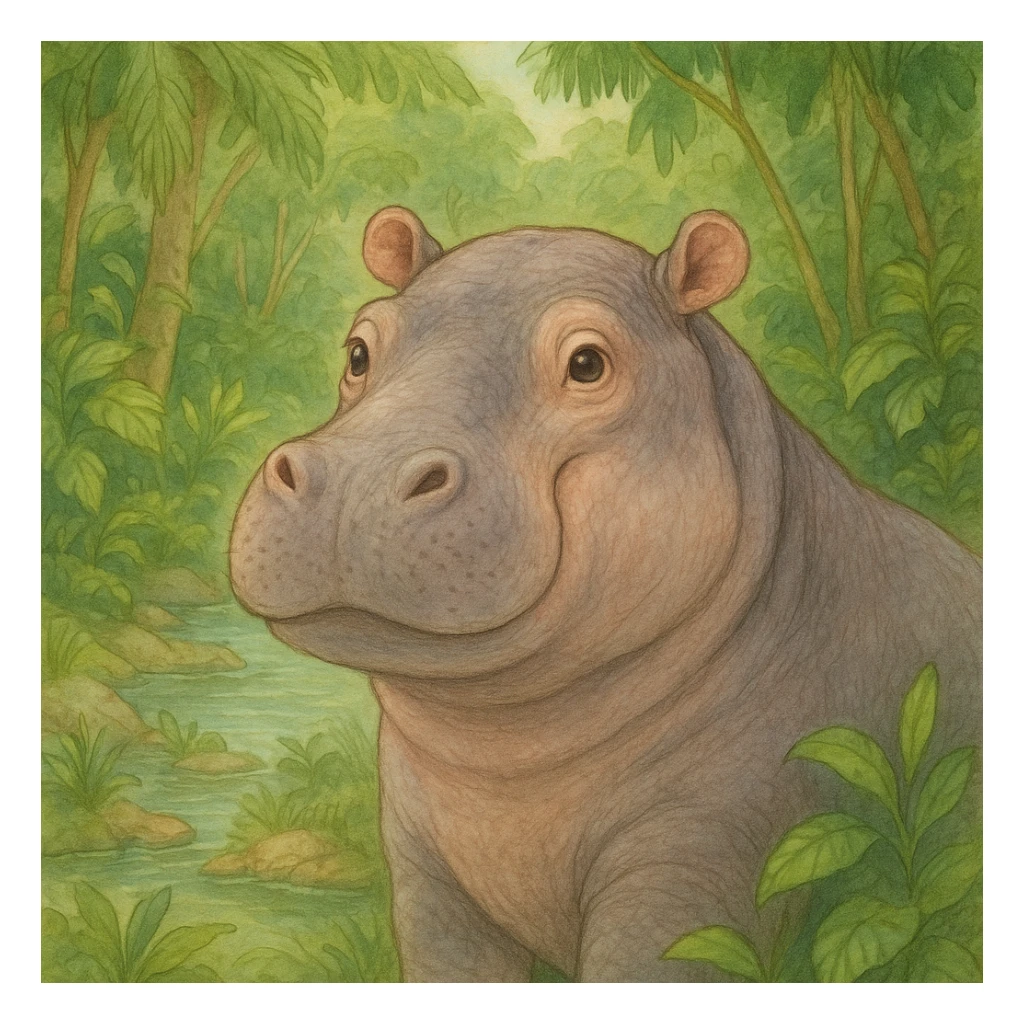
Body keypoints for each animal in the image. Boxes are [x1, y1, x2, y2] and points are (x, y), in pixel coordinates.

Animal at [230, 207, 982, 982]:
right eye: (358, 350)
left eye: (588, 362)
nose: (354, 476)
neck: (510, 751)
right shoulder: (425, 874)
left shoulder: (699, 856)